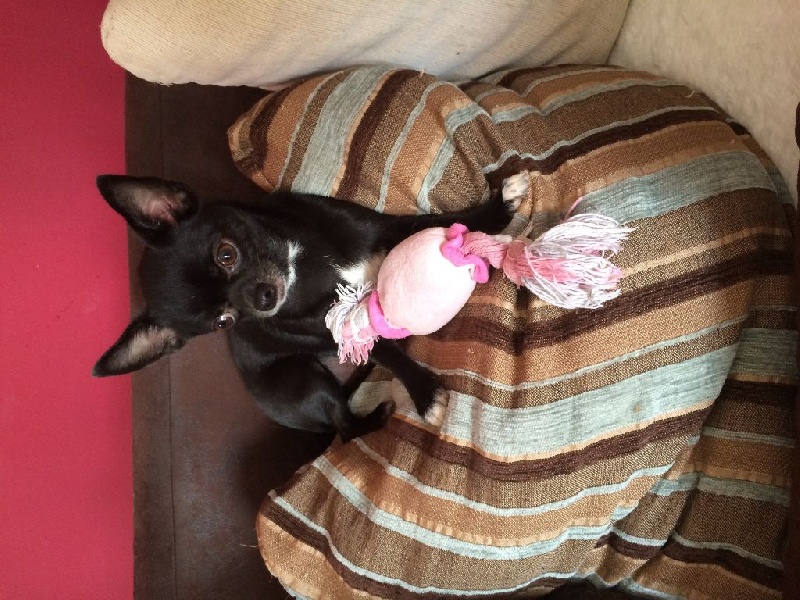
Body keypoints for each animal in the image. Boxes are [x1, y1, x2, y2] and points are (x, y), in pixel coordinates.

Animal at [93, 175, 518, 440]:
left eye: (226, 254)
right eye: (223, 321)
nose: (263, 299)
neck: (300, 262)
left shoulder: (381, 228)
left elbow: (434, 221)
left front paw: (499, 208)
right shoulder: (337, 326)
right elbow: (385, 350)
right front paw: (425, 393)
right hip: (307, 382)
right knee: (344, 428)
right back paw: (375, 415)